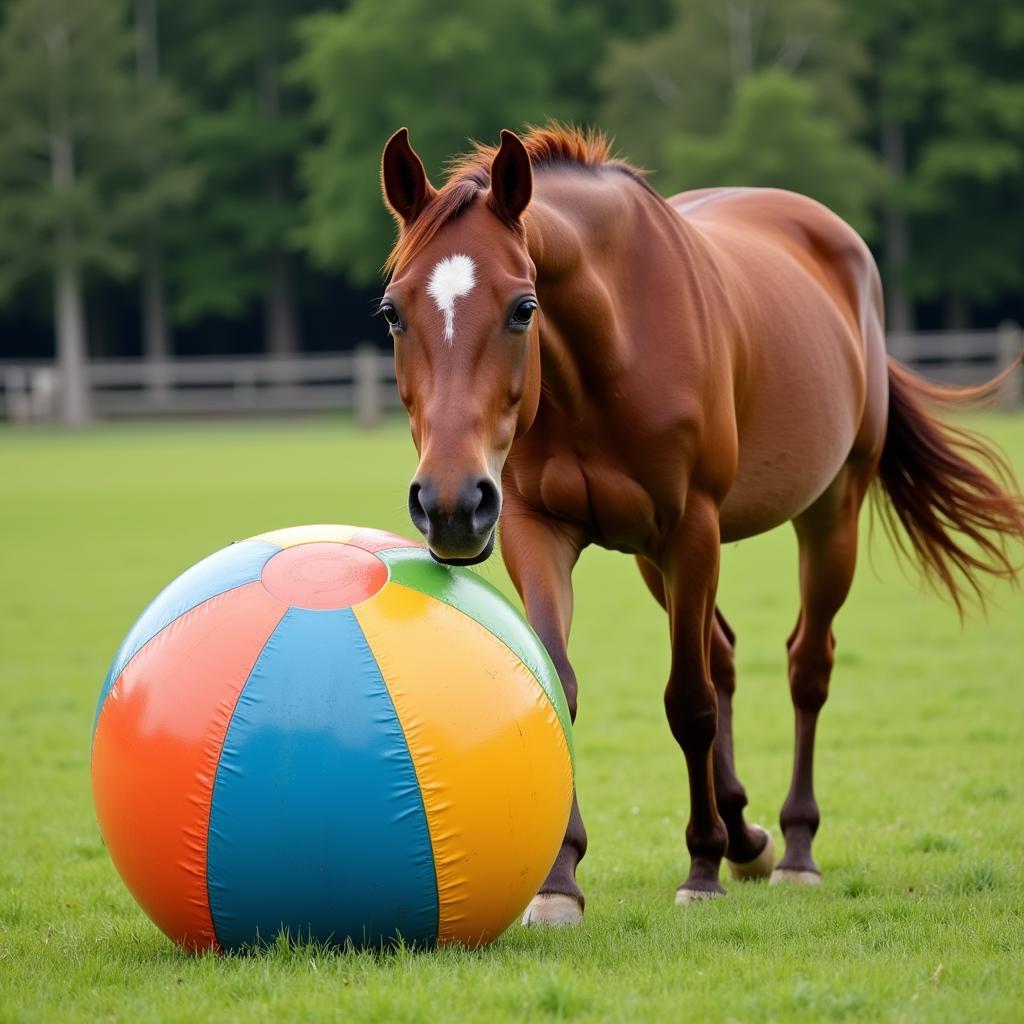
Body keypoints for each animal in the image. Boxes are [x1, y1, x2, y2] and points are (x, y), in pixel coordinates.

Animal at [376, 123, 1024, 925]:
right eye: (393, 312)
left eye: (524, 307)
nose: (449, 502)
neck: (609, 347)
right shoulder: (536, 527)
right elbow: (562, 684)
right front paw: (559, 880)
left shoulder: (692, 528)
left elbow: (689, 702)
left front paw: (701, 868)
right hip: (653, 557)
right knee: (725, 655)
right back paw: (746, 833)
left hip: (826, 517)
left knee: (806, 666)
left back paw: (792, 848)